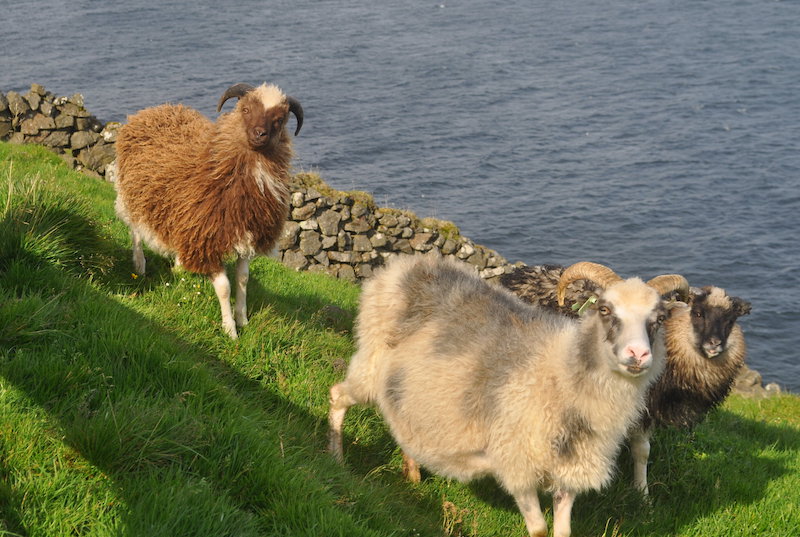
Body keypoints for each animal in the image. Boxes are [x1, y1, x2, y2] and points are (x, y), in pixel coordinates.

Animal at [115, 82, 306, 338]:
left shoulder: (244, 238)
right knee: (135, 229)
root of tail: (157, 109)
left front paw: (243, 319)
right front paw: (230, 330)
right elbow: (225, 288)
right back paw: (140, 264)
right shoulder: (209, 240)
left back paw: (179, 267)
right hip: (133, 193)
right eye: (245, 109)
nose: (259, 134)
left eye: (280, 119)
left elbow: (243, 279)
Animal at [326, 254, 688, 536]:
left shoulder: (569, 472)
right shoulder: (517, 464)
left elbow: (563, 530)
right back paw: (337, 460)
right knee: (337, 395)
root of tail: (405, 265)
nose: (638, 355)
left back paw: (411, 472)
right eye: (604, 309)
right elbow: (538, 529)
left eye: (659, 318)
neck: (561, 373)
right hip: (370, 366)